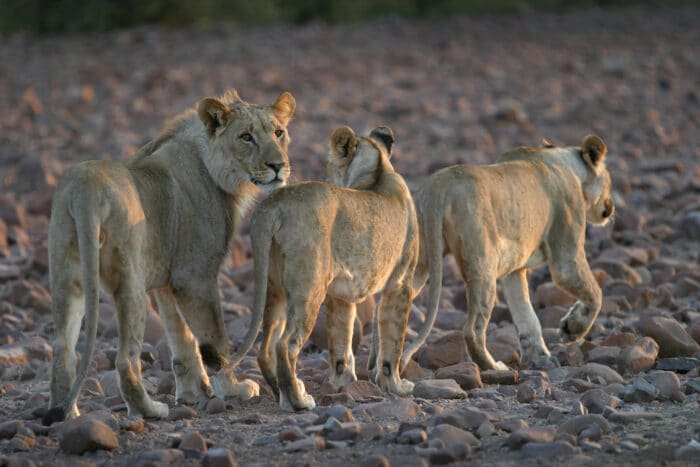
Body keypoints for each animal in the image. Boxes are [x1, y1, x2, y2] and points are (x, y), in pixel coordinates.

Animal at [43, 89, 296, 426]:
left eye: (279, 133)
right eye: (246, 137)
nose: (278, 165)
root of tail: (84, 192)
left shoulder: (166, 281)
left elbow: (183, 339)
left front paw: (192, 394)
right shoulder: (195, 275)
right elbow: (215, 338)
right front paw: (233, 388)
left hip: (67, 278)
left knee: (62, 348)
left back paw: (69, 414)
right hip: (131, 284)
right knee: (125, 359)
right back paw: (149, 410)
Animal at [220, 126, 416, 412]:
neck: (377, 170)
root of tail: (274, 203)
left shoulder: (340, 295)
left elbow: (341, 343)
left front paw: (344, 384)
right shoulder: (401, 283)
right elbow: (393, 338)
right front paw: (396, 386)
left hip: (275, 288)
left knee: (266, 348)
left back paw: (283, 394)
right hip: (310, 288)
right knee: (285, 345)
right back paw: (299, 401)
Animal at [402, 135, 616, 372]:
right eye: (609, 181)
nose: (611, 207)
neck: (561, 160)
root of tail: (437, 187)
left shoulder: (515, 270)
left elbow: (526, 315)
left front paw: (540, 357)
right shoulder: (567, 255)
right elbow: (595, 294)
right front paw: (572, 328)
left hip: (419, 263)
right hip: (483, 263)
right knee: (472, 329)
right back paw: (495, 367)